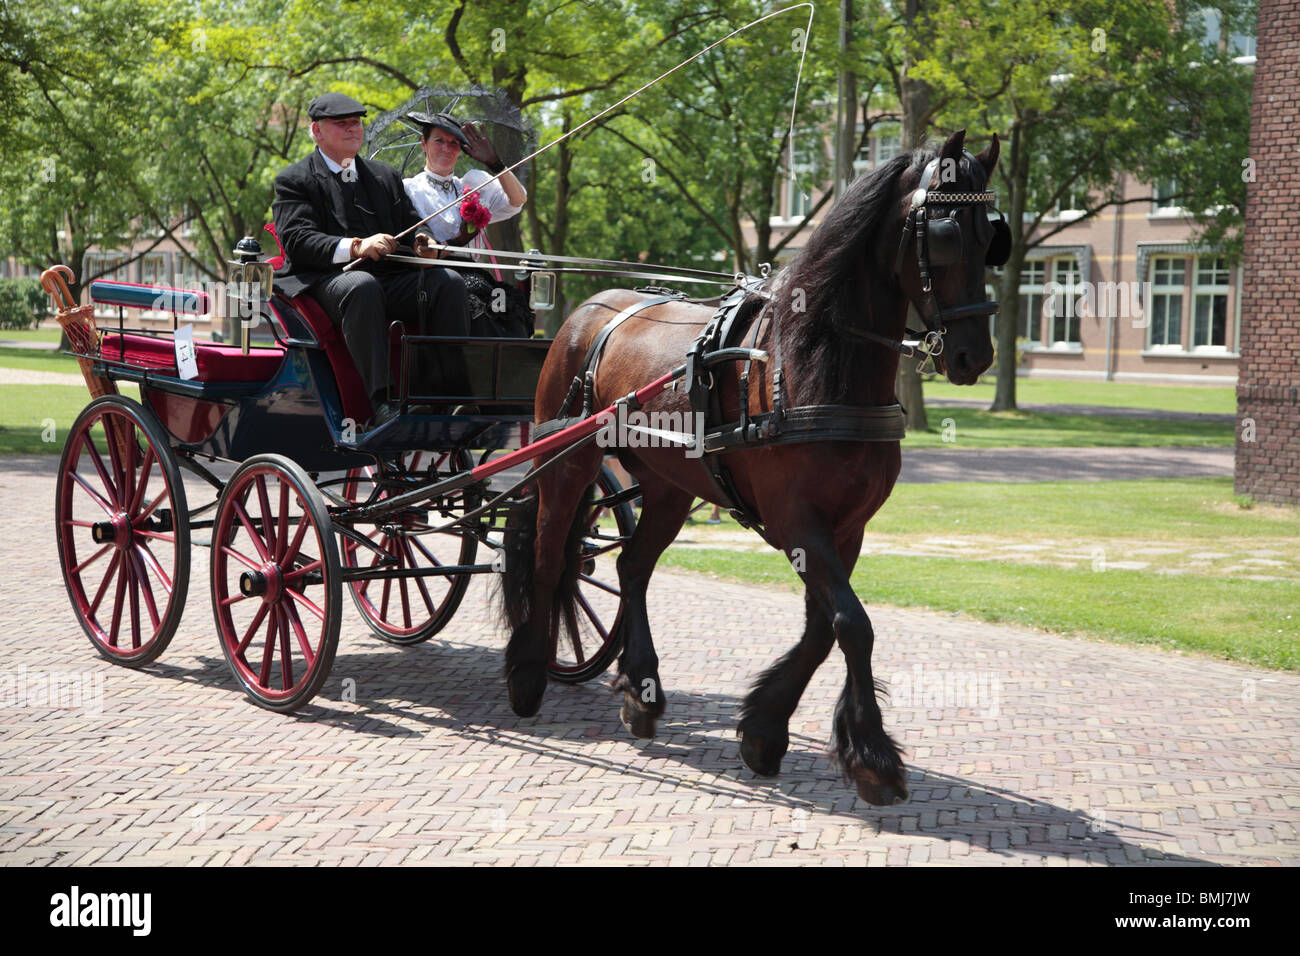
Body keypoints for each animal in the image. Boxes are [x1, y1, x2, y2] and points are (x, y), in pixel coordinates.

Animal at [501, 125, 998, 801]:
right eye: (945, 234)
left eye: (993, 236)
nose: (975, 355)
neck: (816, 365)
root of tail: (588, 309)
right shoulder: (797, 520)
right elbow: (852, 623)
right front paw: (871, 755)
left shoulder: (847, 526)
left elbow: (824, 627)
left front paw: (764, 731)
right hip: (568, 464)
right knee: (553, 556)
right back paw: (528, 675)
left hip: (667, 485)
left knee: (632, 567)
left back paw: (641, 691)